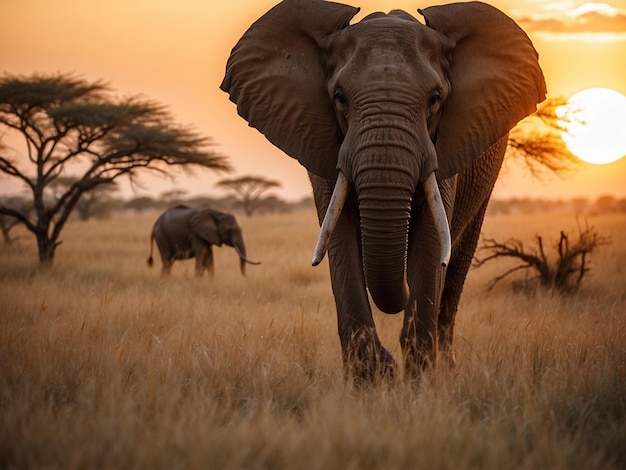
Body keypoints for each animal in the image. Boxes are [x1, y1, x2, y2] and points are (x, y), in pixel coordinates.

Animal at [222, 0, 544, 380]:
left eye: (435, 99)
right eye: (340, 98)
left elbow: (431, 241)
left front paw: (418, 384)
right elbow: (339, 236)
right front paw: (372, 379)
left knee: (457, 265)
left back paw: (448, 368)